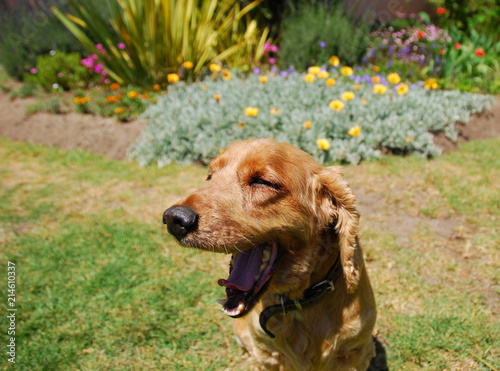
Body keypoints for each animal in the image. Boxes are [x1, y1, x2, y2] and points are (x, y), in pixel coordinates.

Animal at [163, 138, 376, 370]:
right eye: (210, 176)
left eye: (263, 182)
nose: (174, 218)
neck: (298, 301)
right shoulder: (267, 352)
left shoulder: (357, 350)